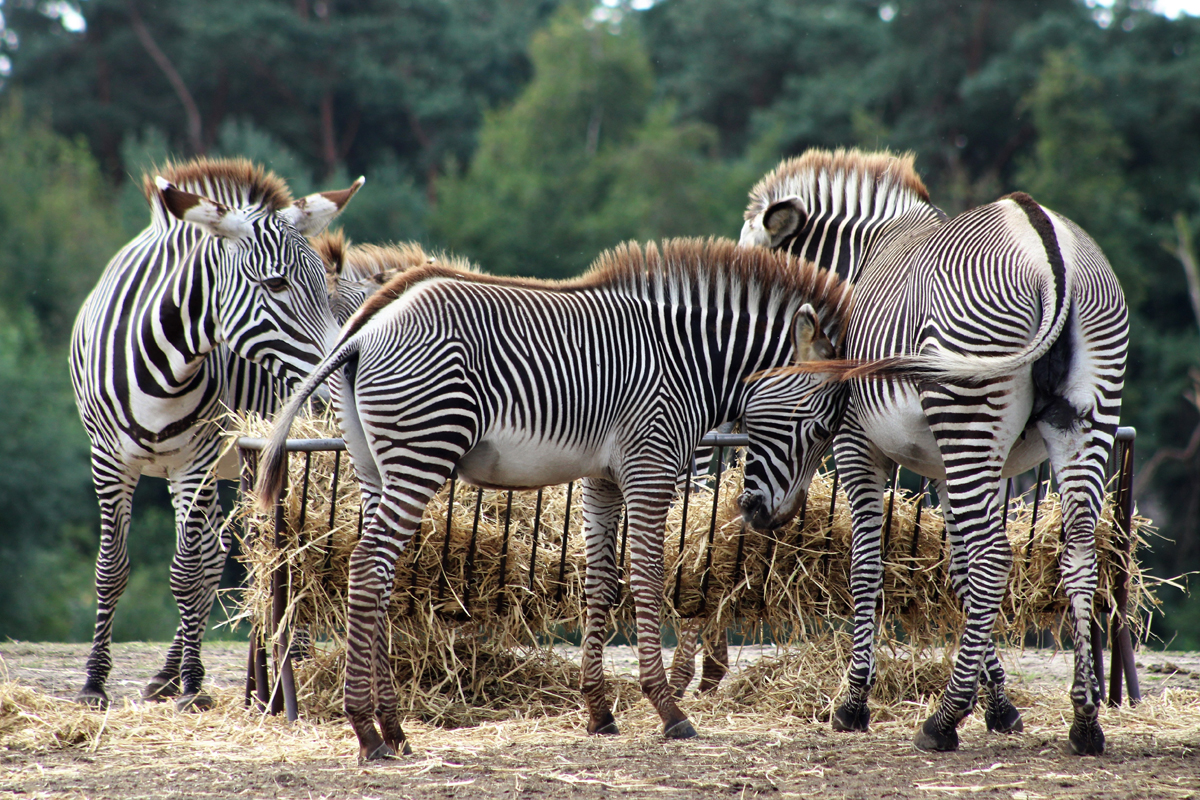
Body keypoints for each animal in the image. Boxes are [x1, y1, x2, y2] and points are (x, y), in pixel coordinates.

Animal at [69, 159, 360, 710]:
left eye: (319, 285)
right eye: (275, 284)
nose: (344, 372)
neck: (165, 363)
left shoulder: (196, 461)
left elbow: (187, 572)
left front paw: (193, 686)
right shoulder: (109, 459)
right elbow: (111, 569)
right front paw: (94, 683)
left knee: (221, 557)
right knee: (214, 552)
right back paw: (169, 672)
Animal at [248, 237, 912, 762]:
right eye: (821, 427)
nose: (770, 517)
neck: (688, 357)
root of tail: (364, 328)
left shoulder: (604, 477)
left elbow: (600, 582)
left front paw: (599, 712)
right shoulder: (650, 465)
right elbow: (645, 578)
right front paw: (668, 711)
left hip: (372, 463)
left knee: (380, 573)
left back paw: (393, 728)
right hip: (422, 452)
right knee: (367, 566)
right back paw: (366, 731)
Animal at [744, 149, 1128, 758]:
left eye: (760, 411)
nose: (753, 512)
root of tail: (1048, 252)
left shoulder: (857, 442)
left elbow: (868, 566)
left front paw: (853, 704)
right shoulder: (956, 467)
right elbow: (960, 572)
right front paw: (998, 706)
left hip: (969, 405)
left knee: (996, 559)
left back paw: (941, 723)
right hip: (1083, 418)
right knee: (1079, 557)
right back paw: (1085, 720)